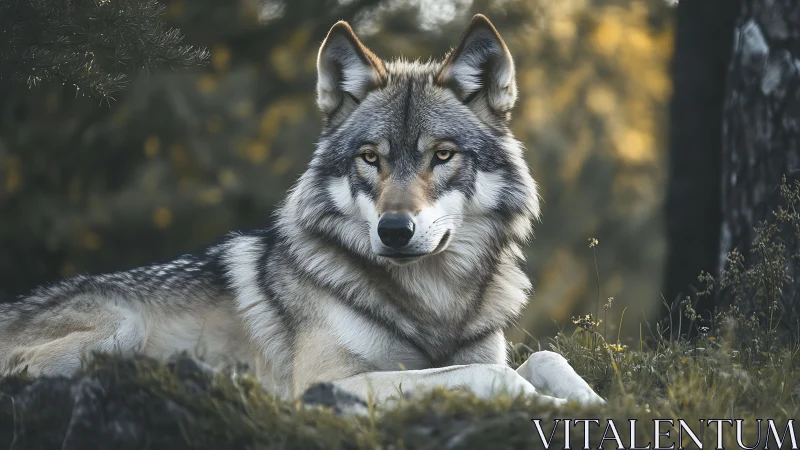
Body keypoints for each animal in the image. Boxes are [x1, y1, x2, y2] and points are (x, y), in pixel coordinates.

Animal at [0, 14, 604, 408]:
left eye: (442, 155)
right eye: (370, 158)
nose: (394, 230)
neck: (432, 302)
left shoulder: (491, 351)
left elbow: (544, 360)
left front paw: (589, 404)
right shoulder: (327, 382)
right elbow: (487, 376)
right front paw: (543, 405)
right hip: (123, 325)